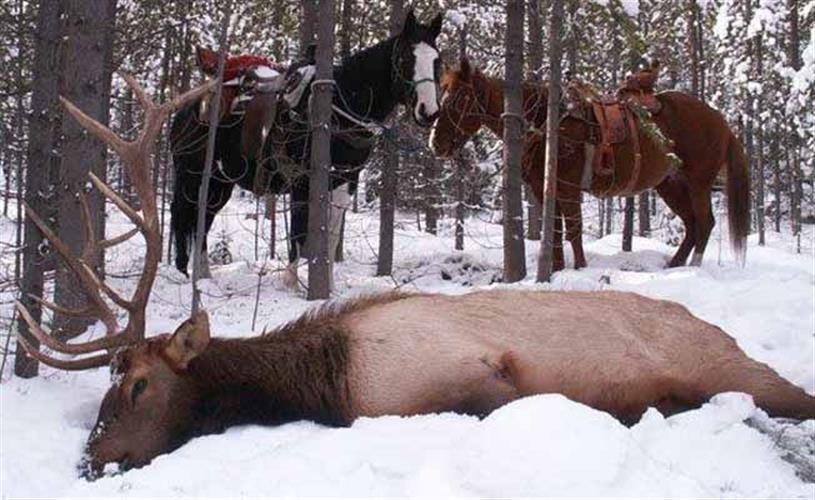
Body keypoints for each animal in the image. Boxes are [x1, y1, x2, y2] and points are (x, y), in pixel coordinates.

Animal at [14, 75, 815, 481]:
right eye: (107, 384)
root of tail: (719, 332)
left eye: (139, 384)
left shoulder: (459, 379)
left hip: (727, 365)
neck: (329, 378)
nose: (90, 460)